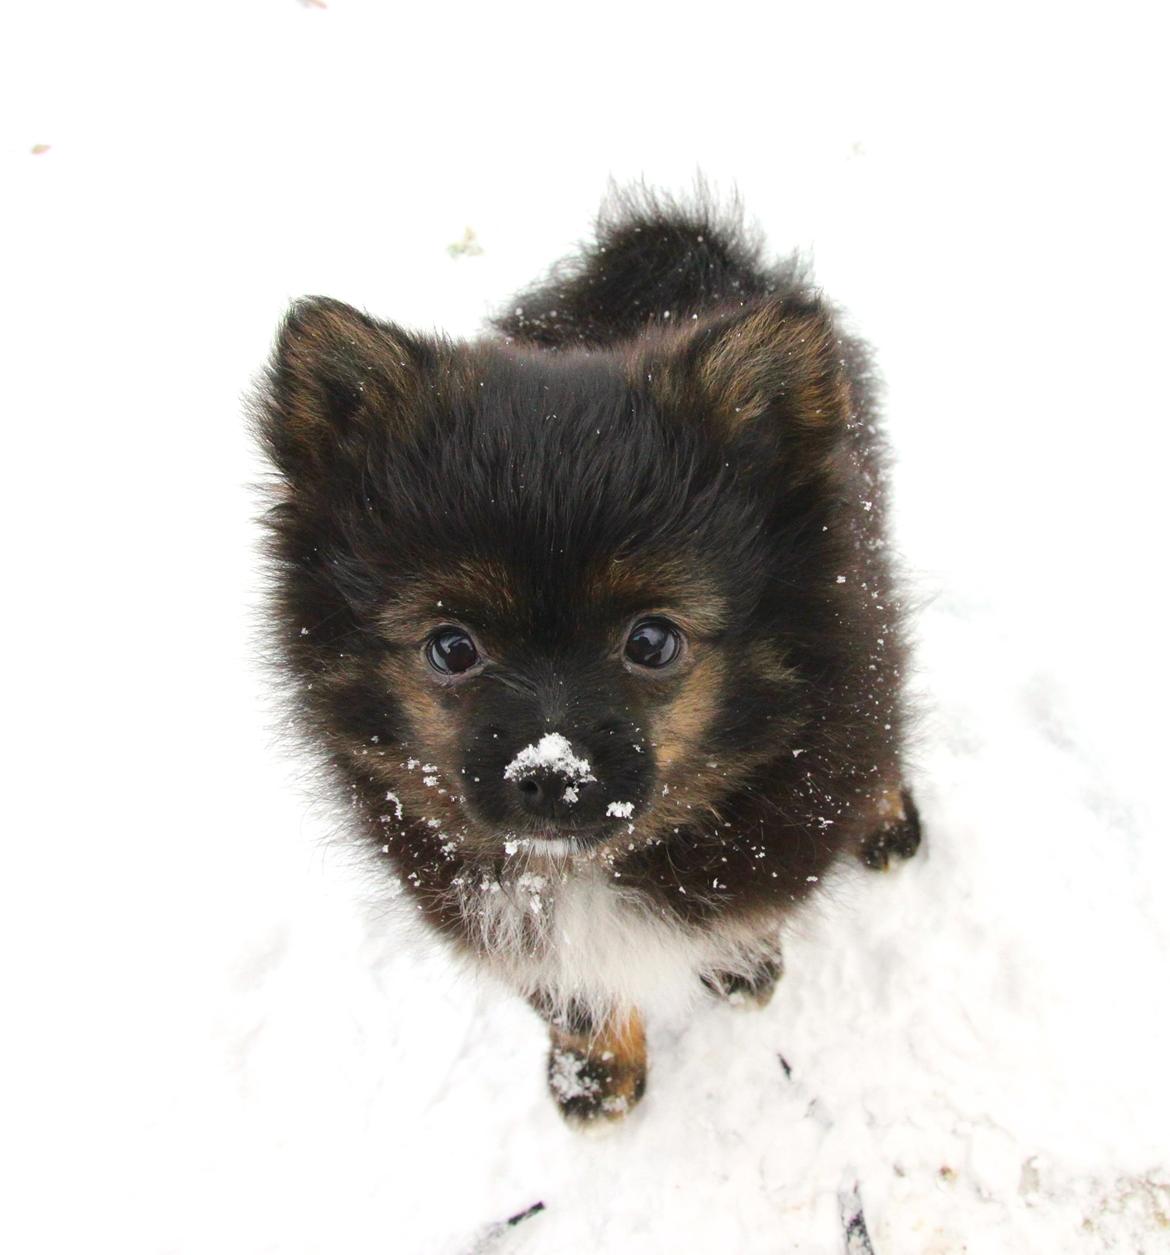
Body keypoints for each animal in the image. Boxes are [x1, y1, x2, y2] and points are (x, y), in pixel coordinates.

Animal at [256, 190, 923, 1134]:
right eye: (451, 647)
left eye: (652, 641)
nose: (551, 772)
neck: (587, 869)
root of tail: (677, 252)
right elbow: (568, 992)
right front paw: (596, 1074)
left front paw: (741, 966)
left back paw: (891, 819)